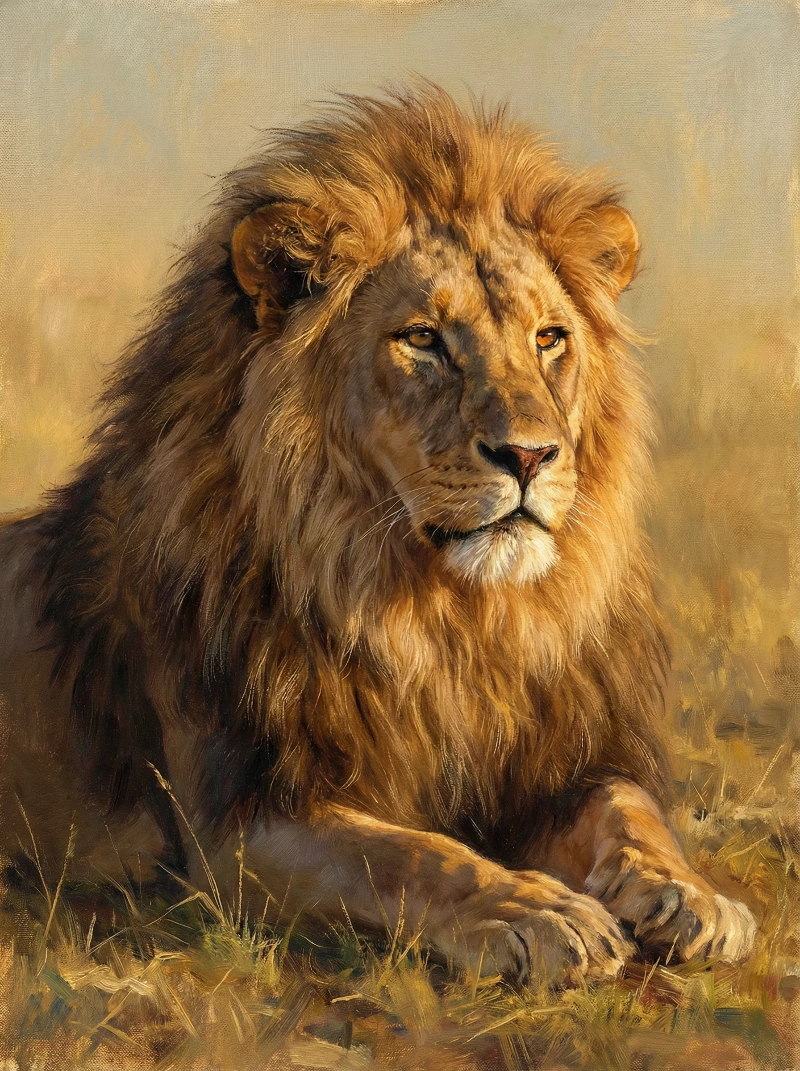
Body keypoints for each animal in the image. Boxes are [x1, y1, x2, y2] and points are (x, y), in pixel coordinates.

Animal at [0, 87, 755, 986]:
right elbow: (411, 854)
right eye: (423, 339)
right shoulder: (239, 824)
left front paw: (690, 895)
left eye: (549, 339)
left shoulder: (565, 764)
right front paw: (535, 910)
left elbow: (631, 812)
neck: (454, 622)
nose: (531, 455)